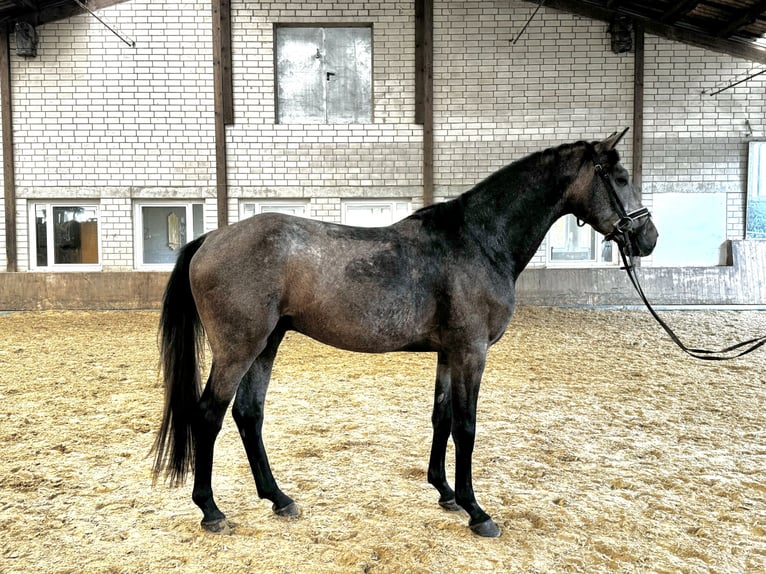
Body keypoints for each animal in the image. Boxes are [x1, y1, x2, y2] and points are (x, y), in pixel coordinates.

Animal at [152, 129, 658, 538]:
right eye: (619, 177)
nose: (648, 237)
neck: (478, 240)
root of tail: (211, 239)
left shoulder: (448, 353)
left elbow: (442, 418)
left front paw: (446, 492)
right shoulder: (471, 352)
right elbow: (467, 427)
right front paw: (477, 512)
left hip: (267, 344)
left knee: (248, 414)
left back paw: (279, 498)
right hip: (238, 349)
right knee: (209, 416)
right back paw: (211, 510)